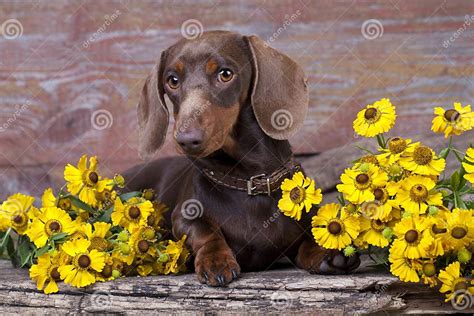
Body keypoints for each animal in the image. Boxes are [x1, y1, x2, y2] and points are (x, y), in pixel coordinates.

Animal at [124, 31, 362, 286]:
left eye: (225, 74)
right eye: (173, 80)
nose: (186, 139)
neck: (248, 179)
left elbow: (308, 242)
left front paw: (328, 255)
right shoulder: (183, 216)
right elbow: (205, 231)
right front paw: (215, 259)